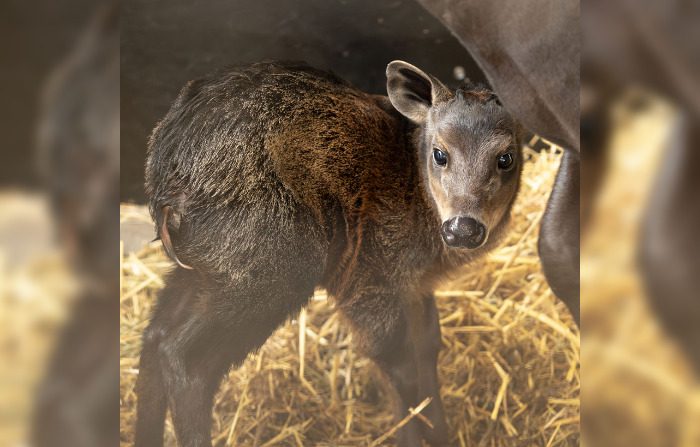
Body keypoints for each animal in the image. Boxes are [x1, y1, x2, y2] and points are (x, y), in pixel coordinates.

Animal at [135, 60, 520, 447]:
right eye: (440, 154)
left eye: (506, 158)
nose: (463, 228)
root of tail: (165, 188)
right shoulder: (369, 277)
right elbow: (399, 365)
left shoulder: (415, 287)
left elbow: (428, 350)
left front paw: (441, 434)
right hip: (274, 263)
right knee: (186, 355)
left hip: (207, 266)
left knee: (155, 335)